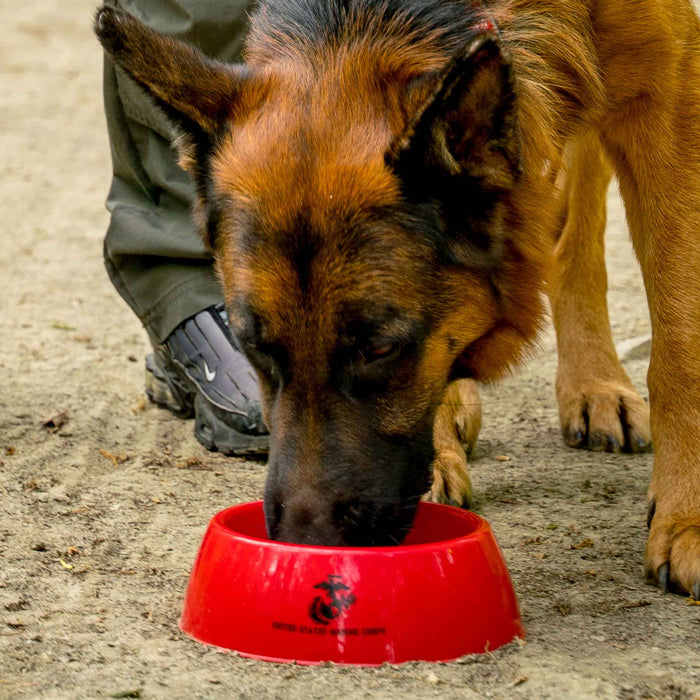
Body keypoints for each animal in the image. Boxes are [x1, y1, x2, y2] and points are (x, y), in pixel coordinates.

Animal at [95, 0, 700, 597]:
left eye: (379, 350)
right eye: (252, 347)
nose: (307, 545)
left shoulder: (669, 92)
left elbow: (679, 343)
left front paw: (686, 518)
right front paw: (442, 447)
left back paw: (594, 383)